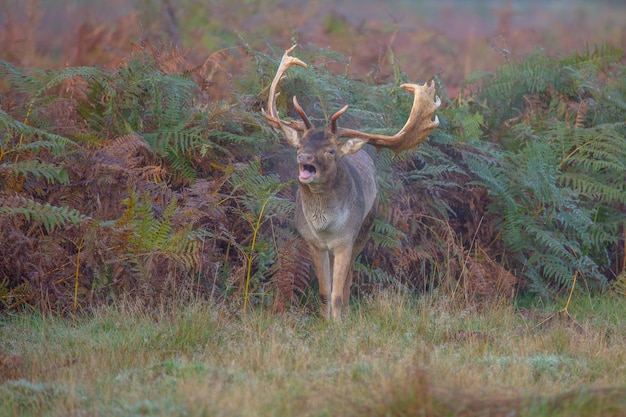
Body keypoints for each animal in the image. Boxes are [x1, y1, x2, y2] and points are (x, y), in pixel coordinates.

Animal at [258, 44, 438, 318]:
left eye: (331, 150)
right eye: (300, 144)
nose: (304, 157)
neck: (325, 228)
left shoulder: (346, 240)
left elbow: (337, 292)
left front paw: (338, 321)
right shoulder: (314, 242)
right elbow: (325, 292)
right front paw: (325, 320)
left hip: (364, 230)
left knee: (348, 280)